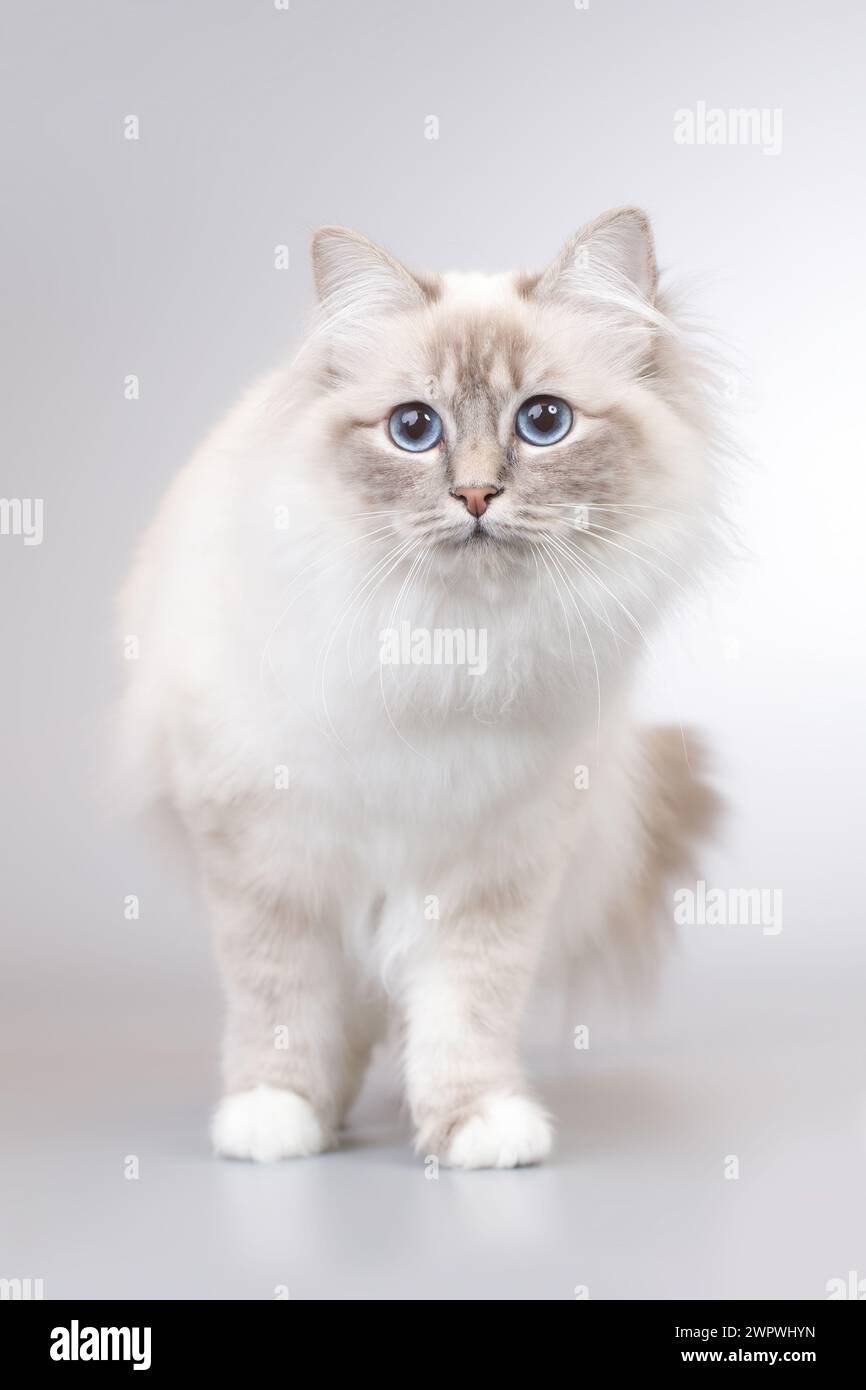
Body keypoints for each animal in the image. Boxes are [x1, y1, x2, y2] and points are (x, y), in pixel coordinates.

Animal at [118, 202, 722, 1162]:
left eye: (543, 421)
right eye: (413, 429)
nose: (475, 496)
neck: (447, 647)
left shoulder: (495, 872)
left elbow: (464, 1014)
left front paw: (474, 1125)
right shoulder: (265, 861)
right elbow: (280, 1000)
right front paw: (276, 1116)